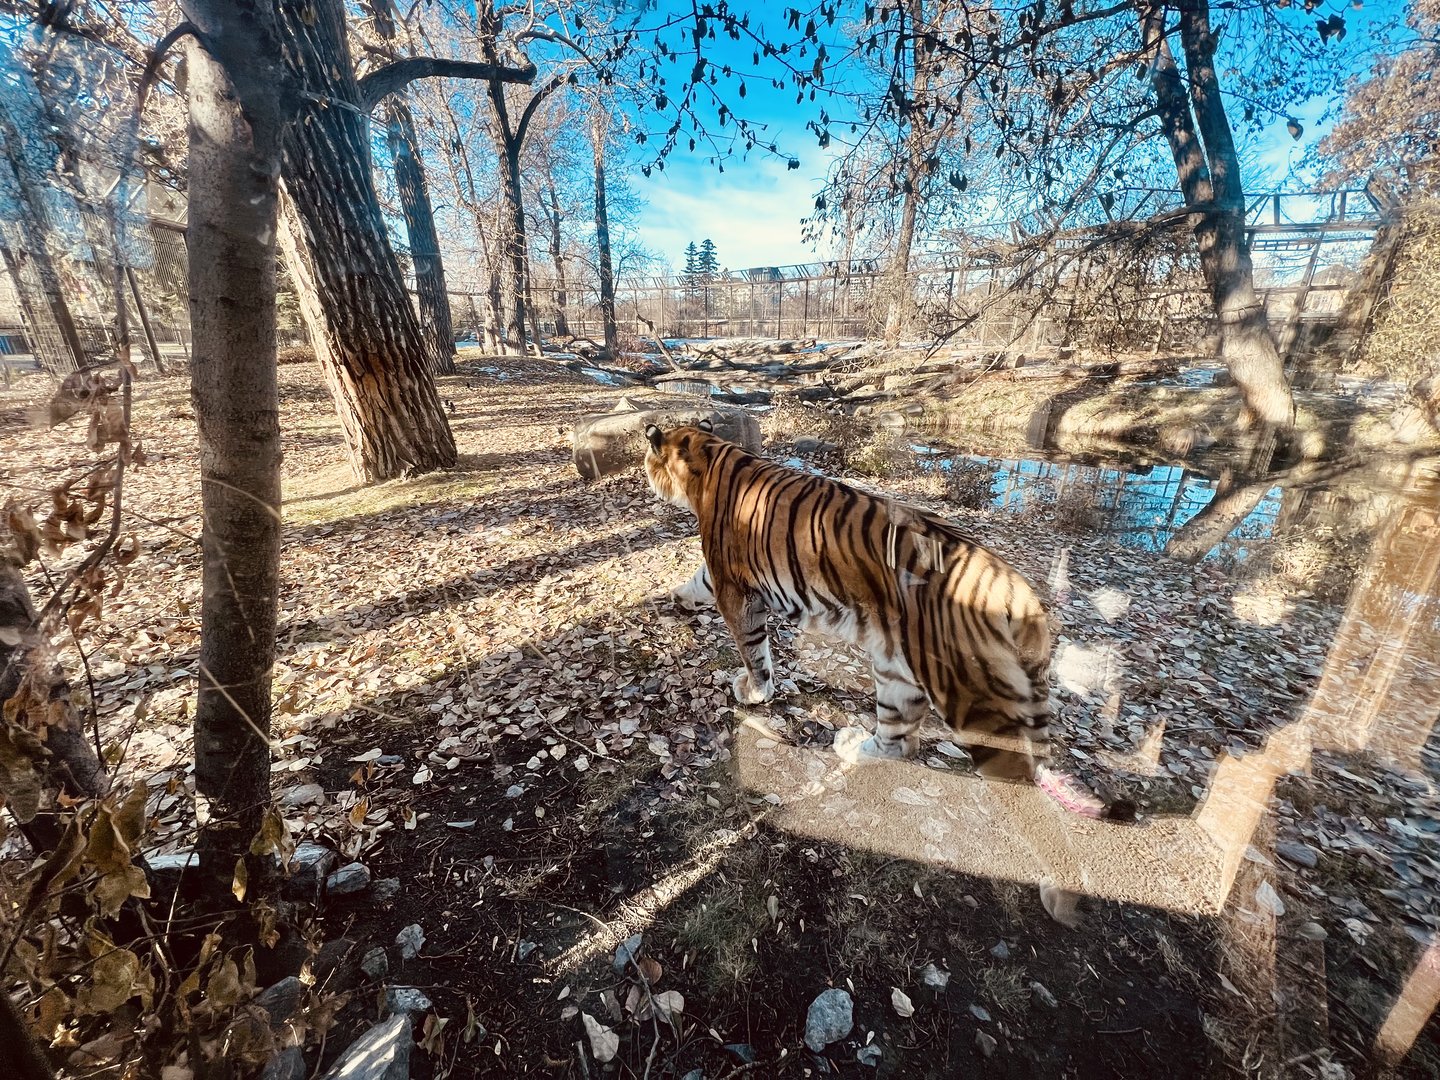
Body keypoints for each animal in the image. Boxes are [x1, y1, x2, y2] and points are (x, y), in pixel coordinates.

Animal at [643, 420, 1134, 823]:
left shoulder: (736, 590)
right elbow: (696, 582)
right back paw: (851, 747)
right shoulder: (719, 576)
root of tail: (1023, 596)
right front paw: (673, 597)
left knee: (1010, 769)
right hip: (897, 668)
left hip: (968, 698)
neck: (713, 455)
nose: (645, 464)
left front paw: (754, 692)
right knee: (899, 741)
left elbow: (753, 649)